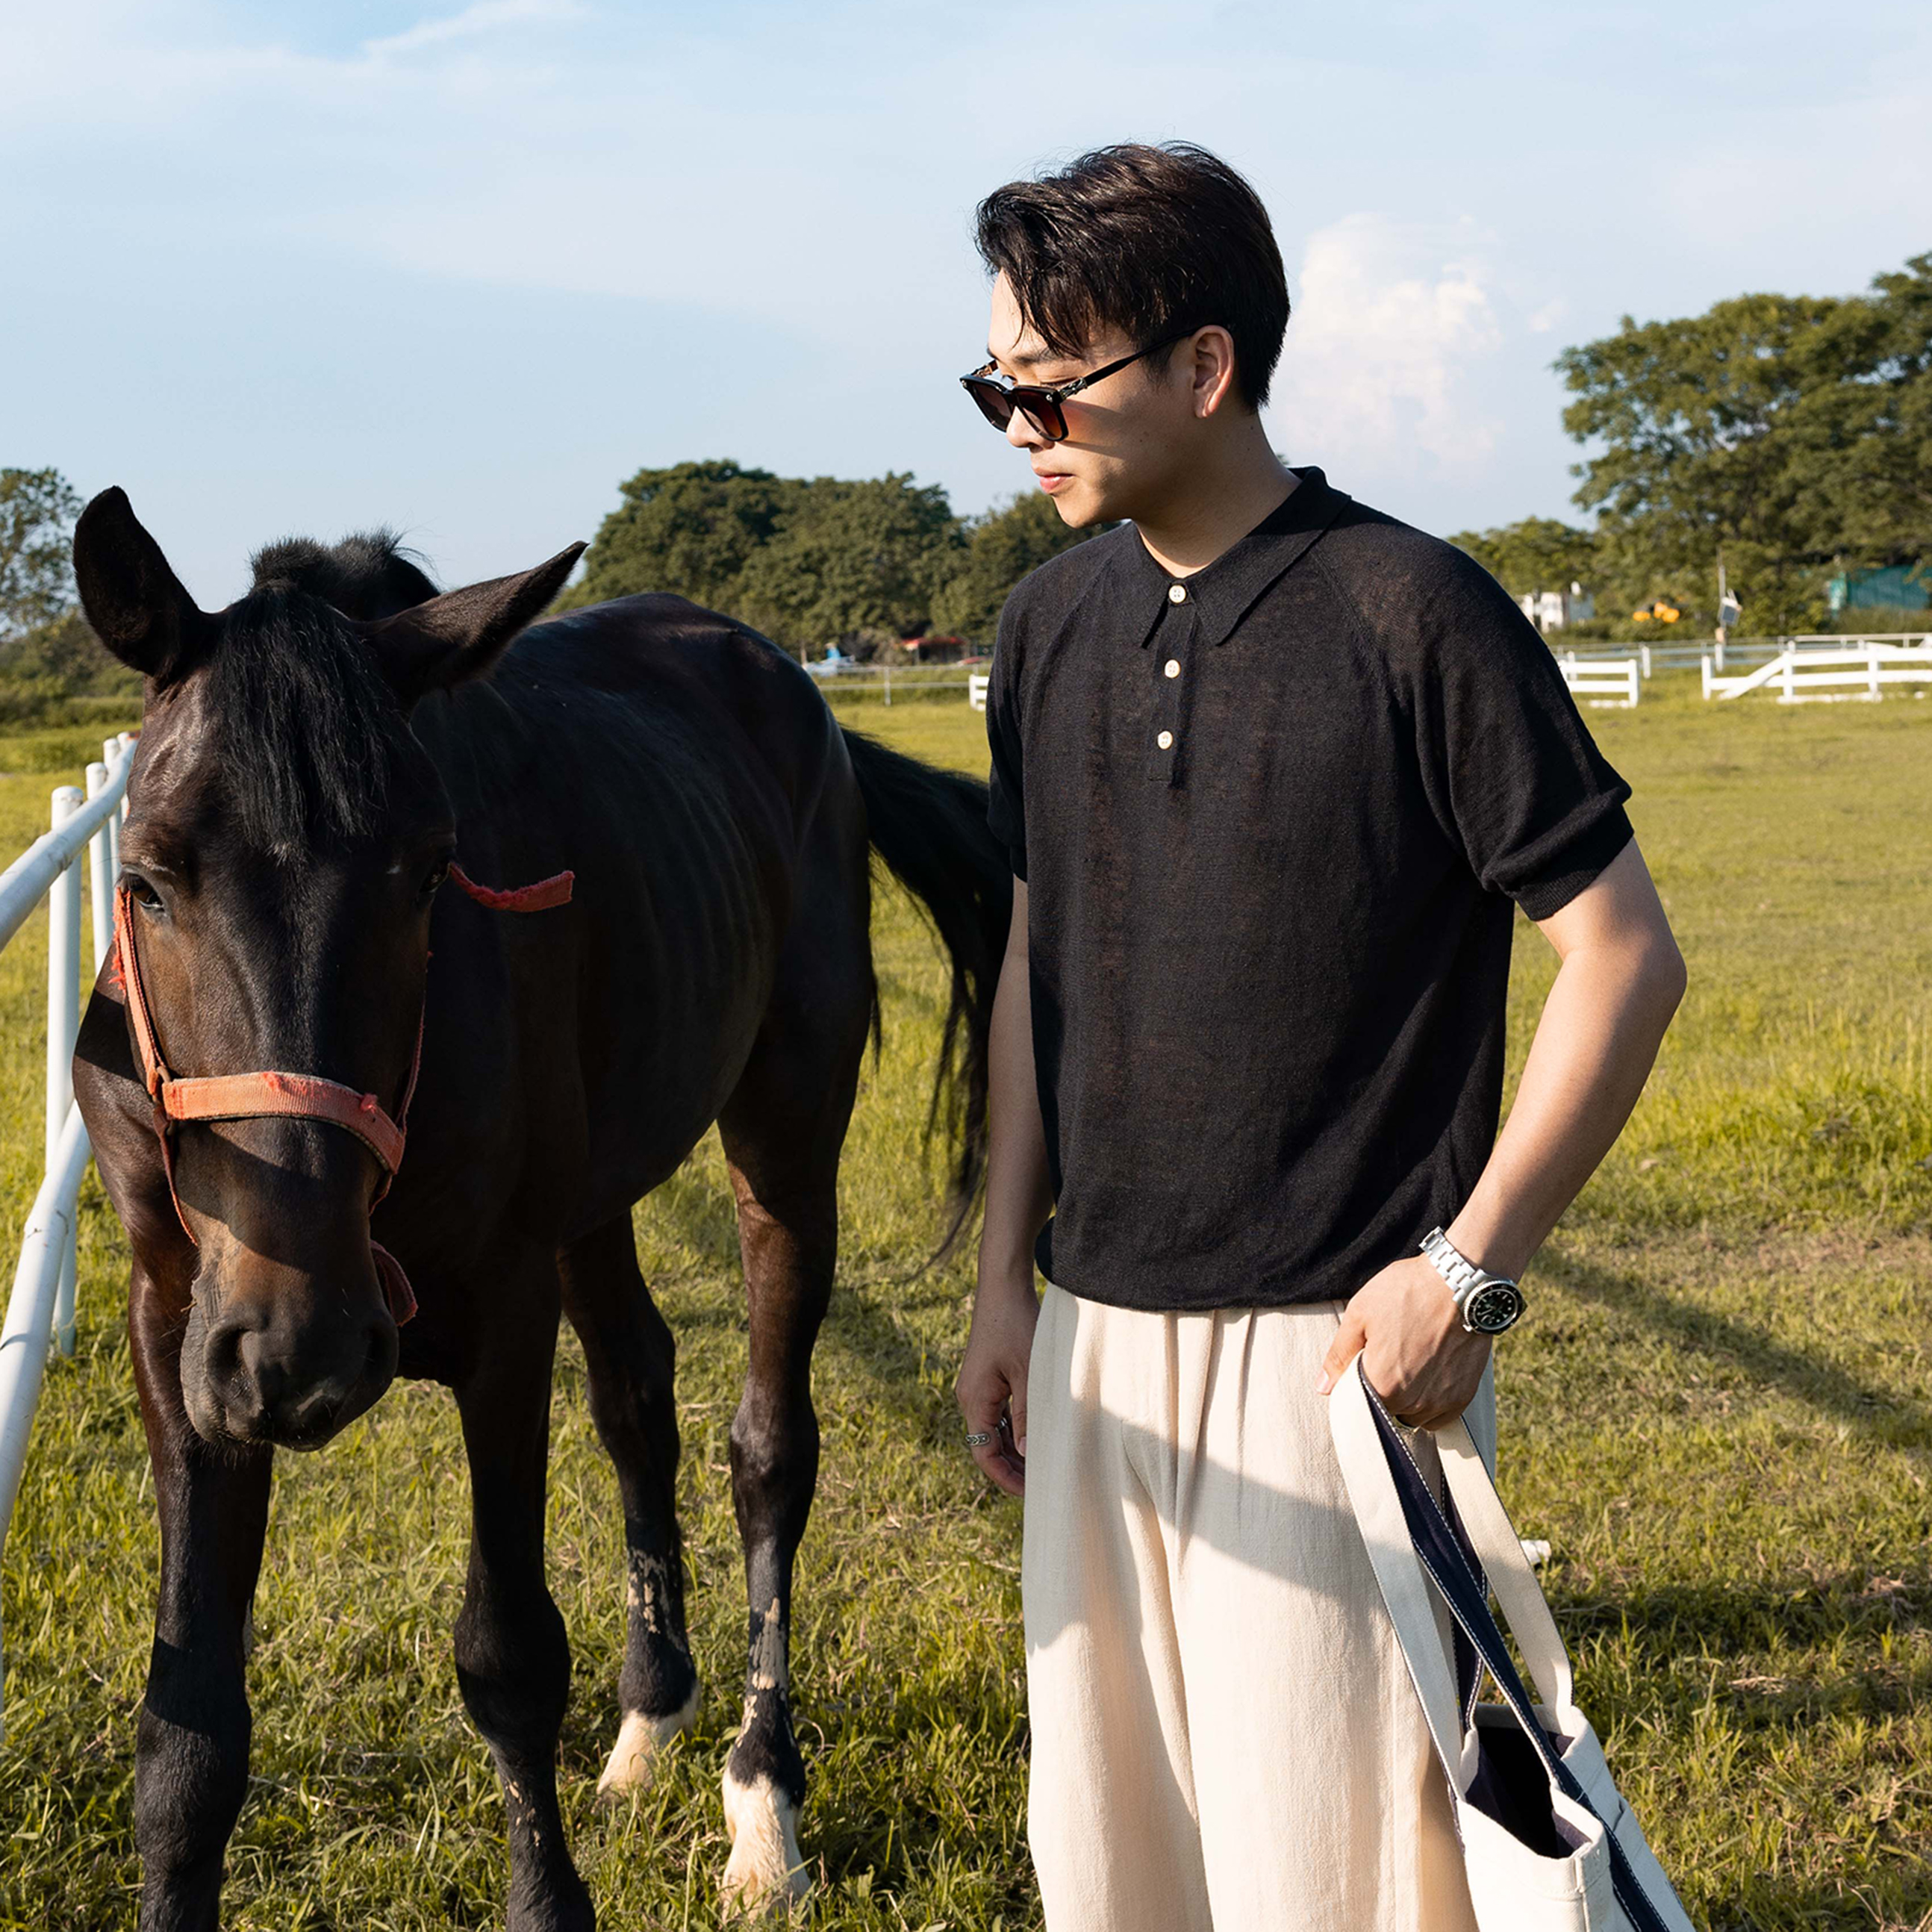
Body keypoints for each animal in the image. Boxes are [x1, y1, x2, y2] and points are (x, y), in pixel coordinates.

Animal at [67, 488, 1010, 1931]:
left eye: (426, 873)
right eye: (151, 876)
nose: (306, 1347)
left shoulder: (500, 1321)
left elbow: (507, 1659)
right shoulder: (178, 1335)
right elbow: (186, 1730)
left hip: (786, 1140)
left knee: (767, 1449)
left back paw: (762, 1802)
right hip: (592, 1202)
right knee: (636, 1396)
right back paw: (648, 1721)